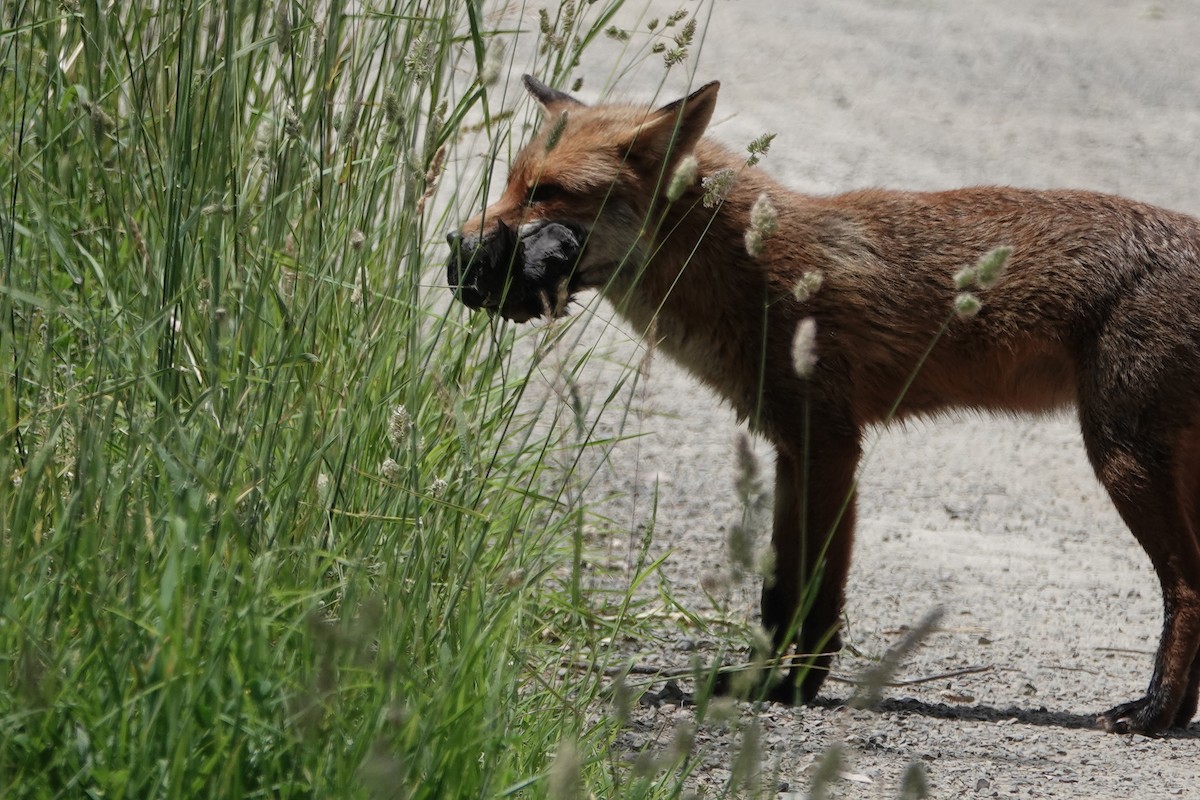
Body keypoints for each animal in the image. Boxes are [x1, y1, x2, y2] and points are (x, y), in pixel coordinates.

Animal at [445, 75, 1200, 735]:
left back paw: (1150, 712)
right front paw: (763, 683)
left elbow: (814, 595)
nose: (460, 248)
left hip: (1120, 457)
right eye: (510, 184)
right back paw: (1175, 714)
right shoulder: (789, 446)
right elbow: (780, 589)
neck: (749, 267)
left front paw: (795, 687)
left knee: (1187, 588)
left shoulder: (829, 444)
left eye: (548, 194)